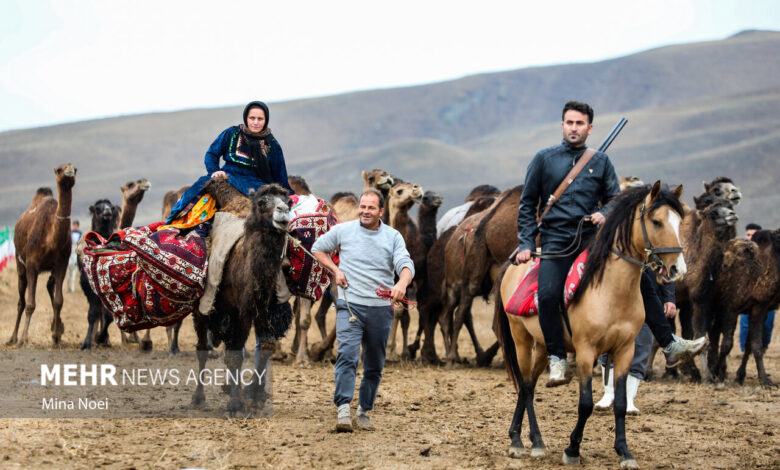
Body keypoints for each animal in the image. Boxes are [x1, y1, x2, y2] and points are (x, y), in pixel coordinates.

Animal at [8, 164, 77, 346]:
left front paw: (56, 338)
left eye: (75, 169)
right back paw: (13, 338)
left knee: (49, 288)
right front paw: (23, 339)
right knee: (21, 301)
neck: (51, 238)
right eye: (60, 169)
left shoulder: (62, 264)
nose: (69, 171)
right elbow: (30, 304)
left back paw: (57, 330)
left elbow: (59, 301)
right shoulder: (32, 263)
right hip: (19, 263)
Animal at [191, 178, 292, 414]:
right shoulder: (236, 311)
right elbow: (235, 356)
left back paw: (229, 386)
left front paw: (255, 396)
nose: (283, 211)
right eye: (263, 202)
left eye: (288, 201)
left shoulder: (265, 310)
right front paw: (235, 405)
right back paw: (198, 397)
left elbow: (264, 348)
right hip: (203, 307)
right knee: (202, 348)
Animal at [496, 182, 684, 468]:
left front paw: (624, 452)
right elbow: (585, 404)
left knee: (529, 385)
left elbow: (620, 403)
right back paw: (524, 442)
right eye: (656, 221)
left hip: (544, 344)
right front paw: (572, 449)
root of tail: (514, 263)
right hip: (521, 339)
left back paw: (527, 438)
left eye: (679, 222)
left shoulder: (624, 350)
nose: (677, 269)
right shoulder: (586, 351)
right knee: (526, 386)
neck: (610, 290)